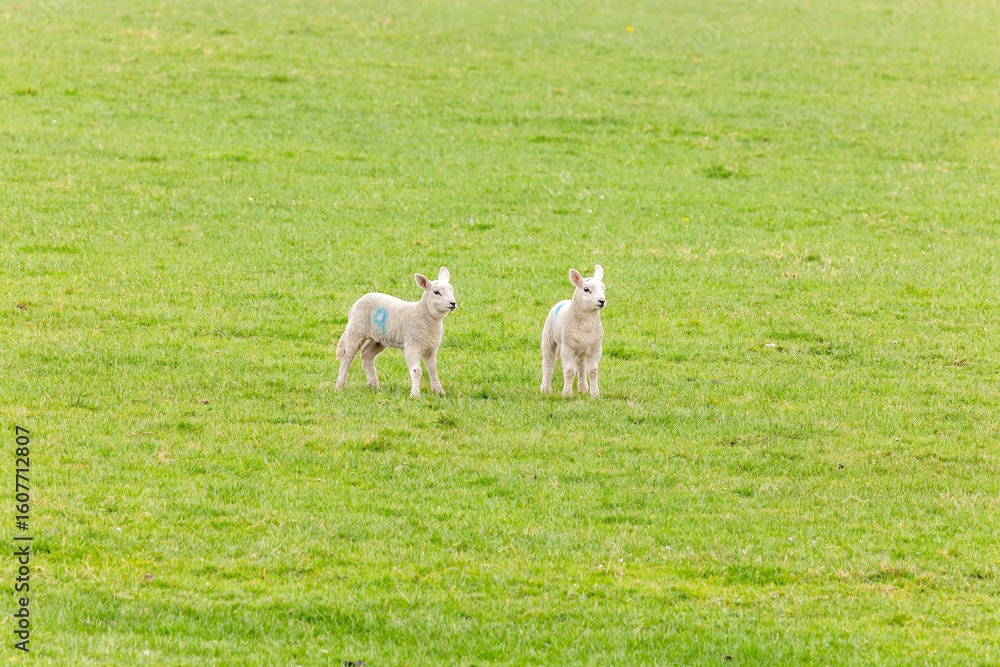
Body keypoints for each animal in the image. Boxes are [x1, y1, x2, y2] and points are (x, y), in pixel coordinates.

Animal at [335, 267, 457, 398]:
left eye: (452, 290)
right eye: (436, 292)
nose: (453, 303)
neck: (422, 314)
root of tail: (355, 304)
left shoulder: (431, 348)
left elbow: (433, 369)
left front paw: (439, 391)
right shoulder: (412, 346)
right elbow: (417, 371)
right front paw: (415, 395)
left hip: (378, 338)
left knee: (366, 354)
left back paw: (374, 385)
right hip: (355, 329)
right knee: (347, 356)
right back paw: (341, 385)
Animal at [540, 265, 606, 398]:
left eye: (603, 289)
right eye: (586, 289)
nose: (602, 301)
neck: (586, 326)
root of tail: (563, 301)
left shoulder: (596, 347)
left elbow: (593, 372)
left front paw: (595, 395)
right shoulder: (567, 347)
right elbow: (569, 371)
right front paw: (567, 394)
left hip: (581, 349)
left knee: (581, 367)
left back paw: (583, 388)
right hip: (548, 338)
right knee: (548, 364)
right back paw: (545, 389)